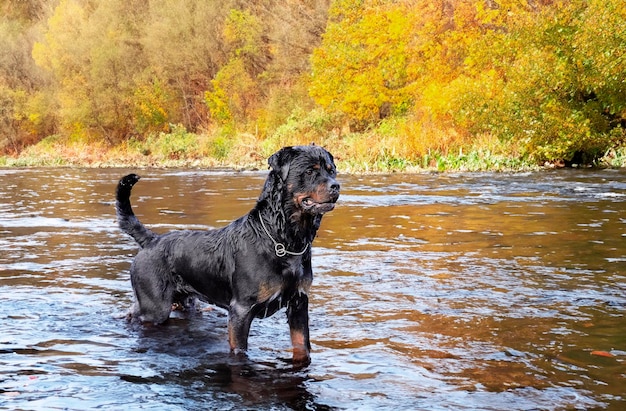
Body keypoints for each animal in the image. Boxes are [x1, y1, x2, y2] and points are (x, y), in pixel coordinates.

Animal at [114, 146, 338, 366]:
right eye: (309, 171)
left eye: (331, 170)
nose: (336, 186)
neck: (283, 239)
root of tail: (152, 240)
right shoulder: (241, 310)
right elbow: (239, 350)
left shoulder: (299, 303)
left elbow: (302, 346)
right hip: (155, 306)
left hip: (185, 300)